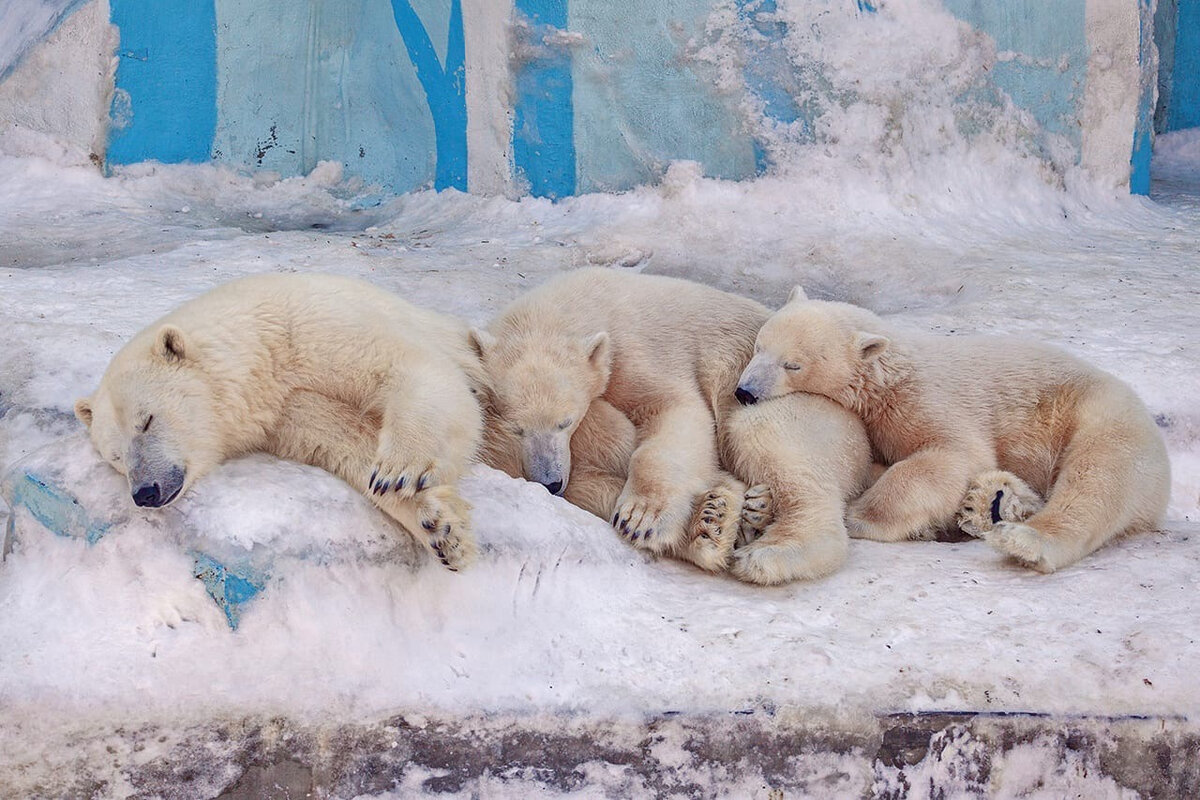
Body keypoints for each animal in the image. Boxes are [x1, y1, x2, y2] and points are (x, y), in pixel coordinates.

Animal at [468, 266, 873, 585]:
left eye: (566, 422)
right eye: (517, 428)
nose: (549, 482)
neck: (572, 307)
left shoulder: (636, 350)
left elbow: (675, 409)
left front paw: (641, 518)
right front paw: (710, 517)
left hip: (806, 415)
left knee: (764, 439)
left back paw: (769, 553)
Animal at [739, 291, 1171, 573]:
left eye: (793, 364)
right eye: (759, 345)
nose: (745, 392)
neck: (887, 375)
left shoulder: (925, 397)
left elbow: (954, 452)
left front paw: (863, 516)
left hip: (1103, 420)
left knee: (1095, 480)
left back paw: (1024, 540)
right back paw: (991, 504)